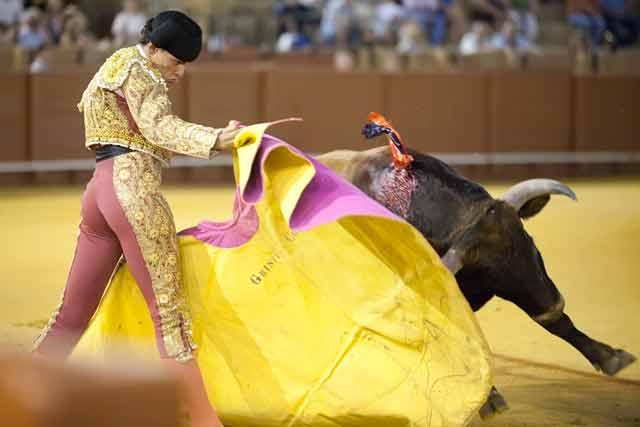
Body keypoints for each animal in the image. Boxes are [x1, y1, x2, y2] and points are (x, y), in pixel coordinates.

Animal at [316, 113, 636, 418]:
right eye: (491, 270)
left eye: (530, 243)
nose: (554, 304)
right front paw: (489, 398)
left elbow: (556, 324)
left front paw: (610, 356)